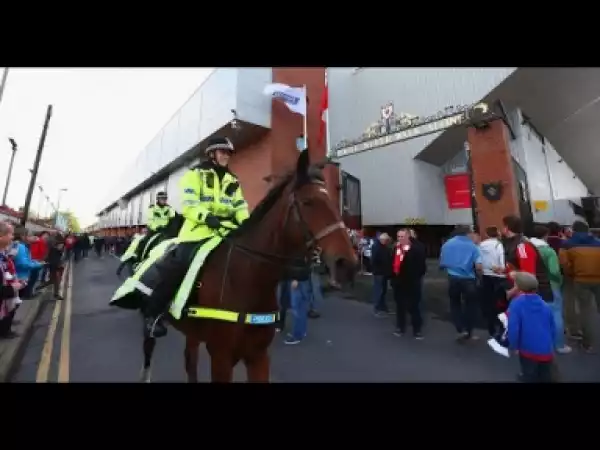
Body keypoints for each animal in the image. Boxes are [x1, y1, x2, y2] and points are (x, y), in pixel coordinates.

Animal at [138, 151, 358, 384]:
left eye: (333, 201)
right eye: (308, 202)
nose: (347, 264)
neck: (247, 278)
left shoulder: (258, 356)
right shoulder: (221, 357)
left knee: (190, 362)